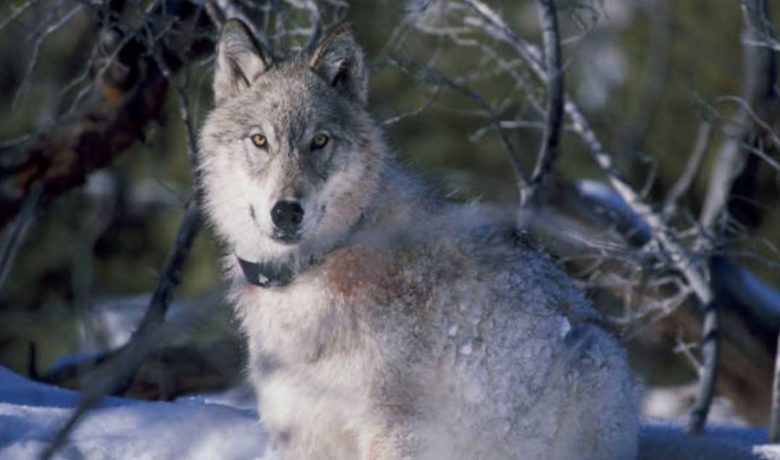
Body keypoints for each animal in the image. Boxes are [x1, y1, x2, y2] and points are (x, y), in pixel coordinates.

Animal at [197, 18, 639, 460]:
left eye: (319, 141)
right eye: (259, 140)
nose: (287, 211)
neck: (314, 268)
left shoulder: (396, 429)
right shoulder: (301, 430)